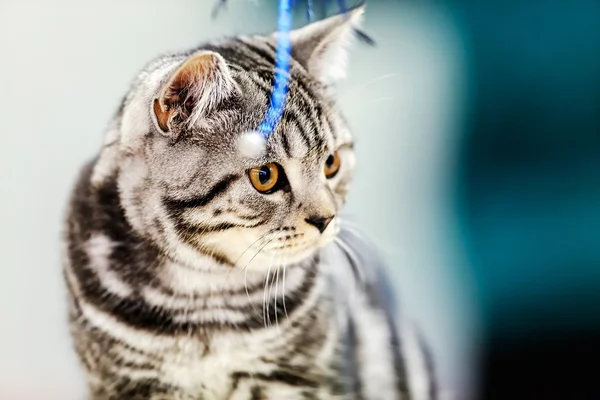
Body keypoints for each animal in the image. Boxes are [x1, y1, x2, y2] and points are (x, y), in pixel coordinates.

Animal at [63, 6, 436, 400]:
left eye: (331, 163)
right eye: (265, 176)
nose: (326, 219)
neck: (205, 296)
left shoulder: (299, 378)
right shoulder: (129, 383)